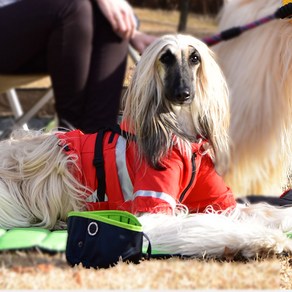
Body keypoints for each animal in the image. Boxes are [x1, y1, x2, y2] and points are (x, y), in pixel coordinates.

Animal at [0, 34, 292, 260]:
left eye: (194, 58)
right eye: (166, 58)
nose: (184, 94)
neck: (181, 136)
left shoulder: (219, 201)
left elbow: (261, 210)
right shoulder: (150, 213)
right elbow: (205, 222)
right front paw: (264, 239)